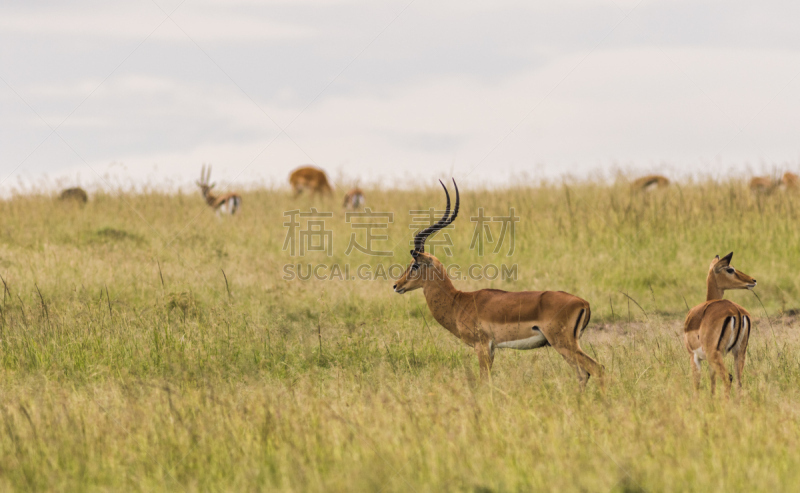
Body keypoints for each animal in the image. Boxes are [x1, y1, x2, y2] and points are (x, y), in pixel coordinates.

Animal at [390, 179, 604, 386]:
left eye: (415, 264)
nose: (396, 285)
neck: (458, 302)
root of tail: (583, 303)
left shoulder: (482, 346)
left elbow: (484, 381)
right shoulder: (491, 349)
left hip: (562, 343)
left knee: (597, 369)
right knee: (583, 374)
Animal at [680, 254, 756, 396]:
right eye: (730, 269)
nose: (753, 280)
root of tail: (736, 311)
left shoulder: (694, 356)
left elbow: (696, 385)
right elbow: (712, 383)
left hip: (714, 354)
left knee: (728, 378)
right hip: (739, 353)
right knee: (738, 382)